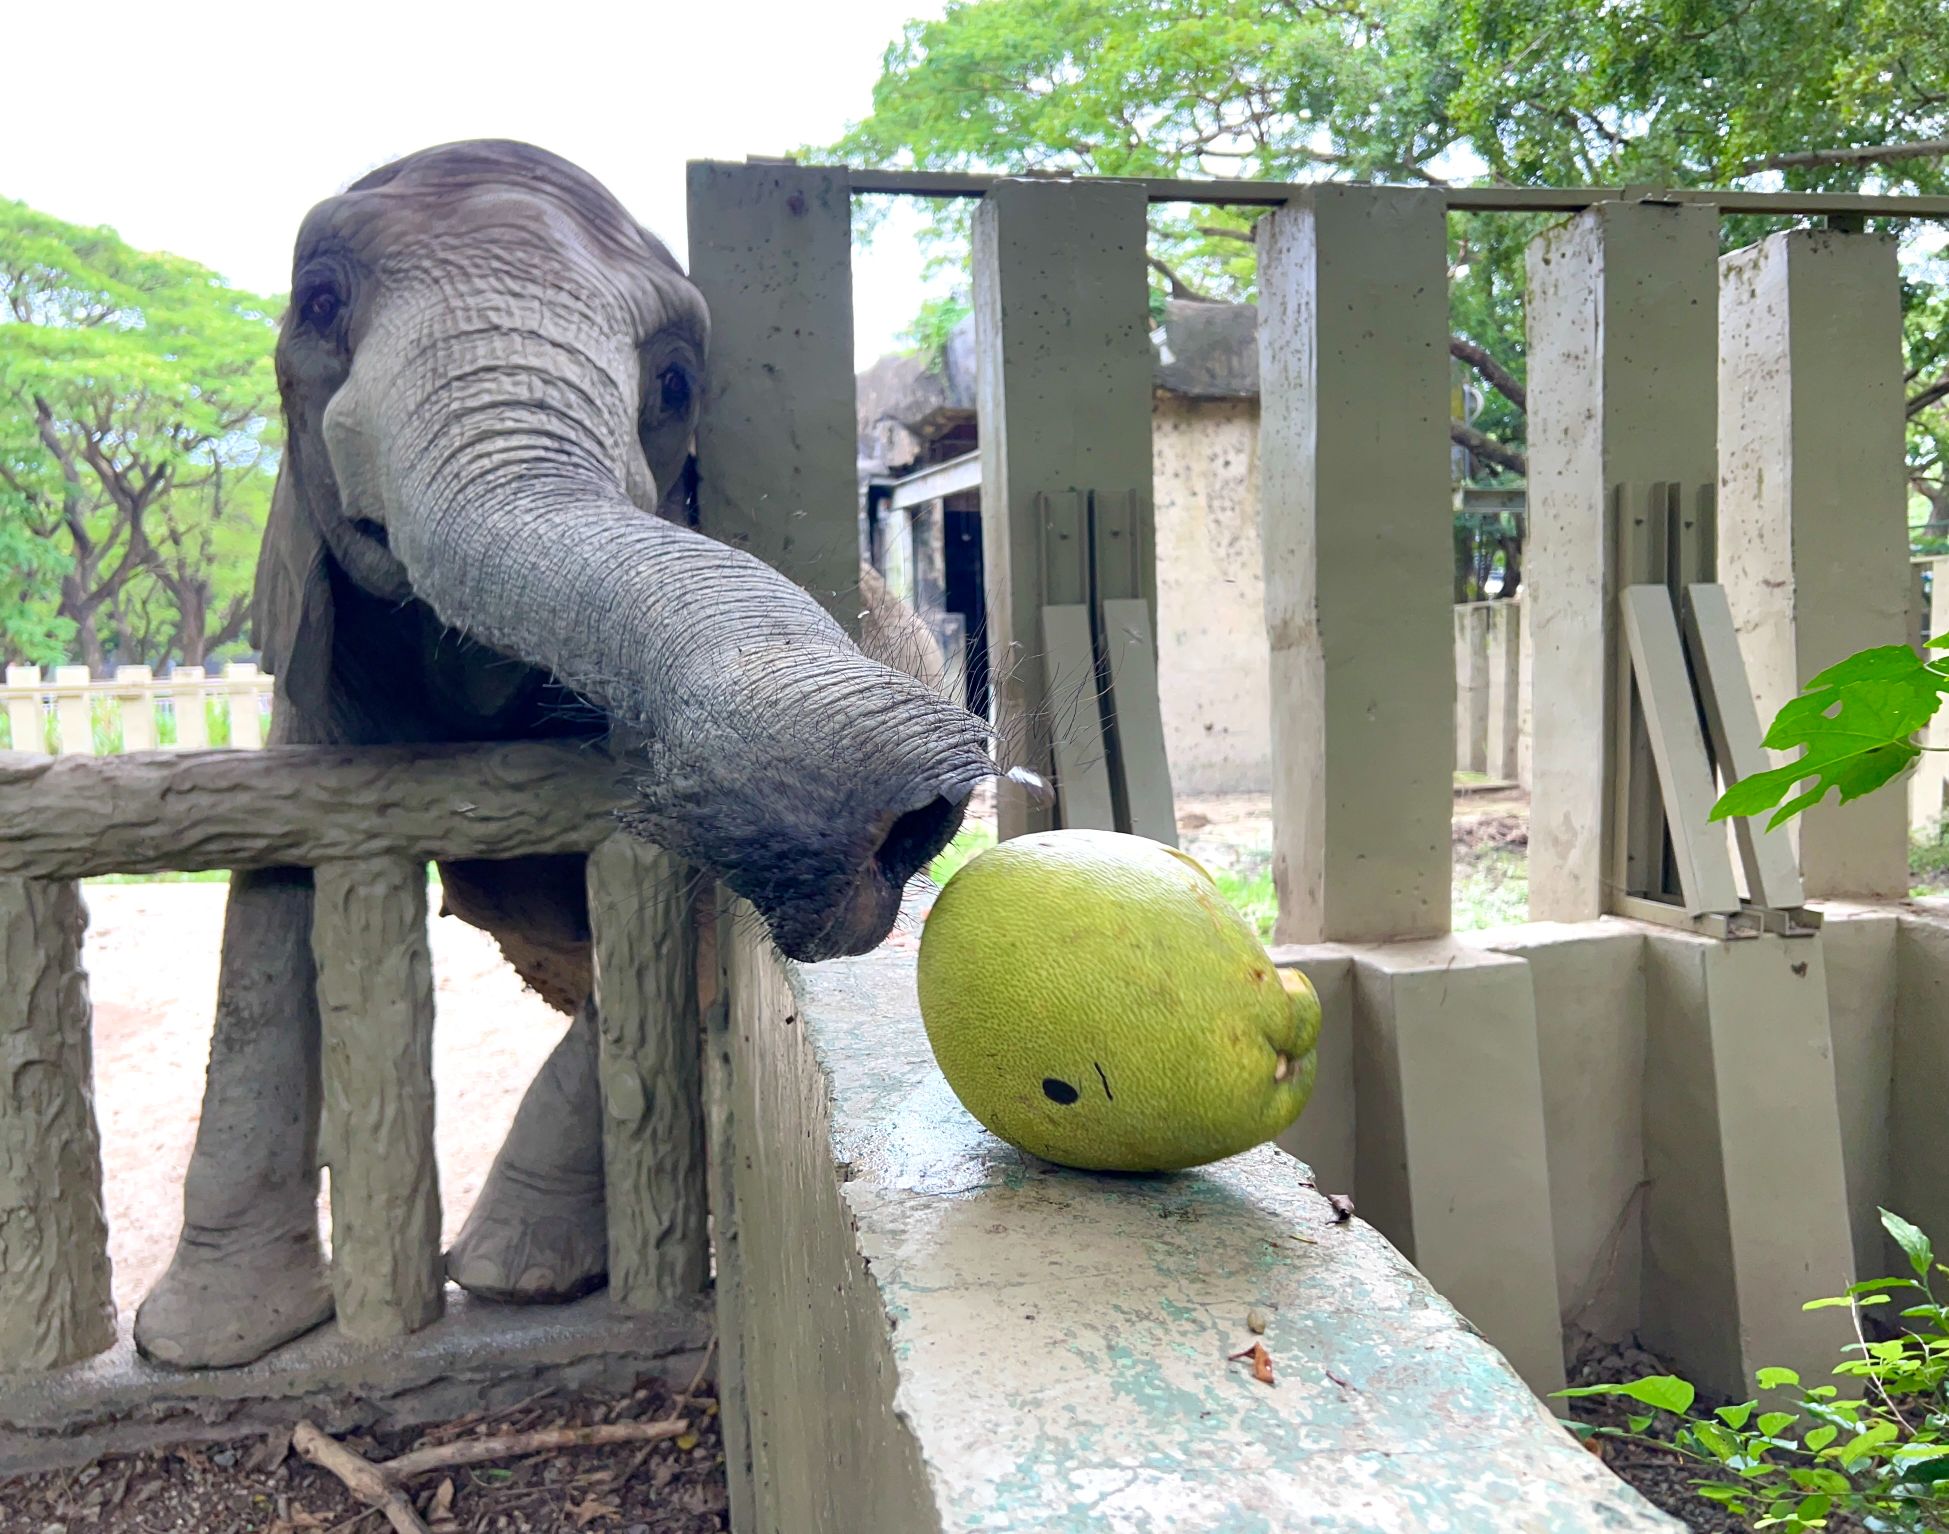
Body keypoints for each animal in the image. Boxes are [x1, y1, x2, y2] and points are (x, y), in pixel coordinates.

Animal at [129, 141, 997, 1364]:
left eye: (674, 383)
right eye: (319, 303)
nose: (912, 818)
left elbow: (671, 924)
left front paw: (515, 1276)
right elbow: (271, 901)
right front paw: (202, 1344)